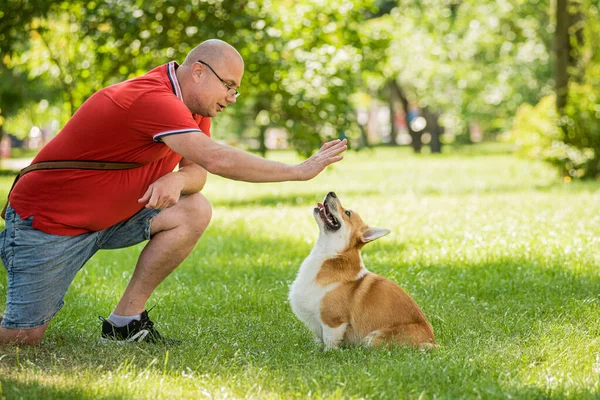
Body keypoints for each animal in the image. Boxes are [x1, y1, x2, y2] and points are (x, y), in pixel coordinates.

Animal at [288, 192, 436, 348]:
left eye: (347, 213)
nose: (331, 192)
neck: (330, 254)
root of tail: (432, 341)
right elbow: (319, 340)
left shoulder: (333, 322)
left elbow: (330, 342)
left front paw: (328, 352)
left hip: (371, 339)